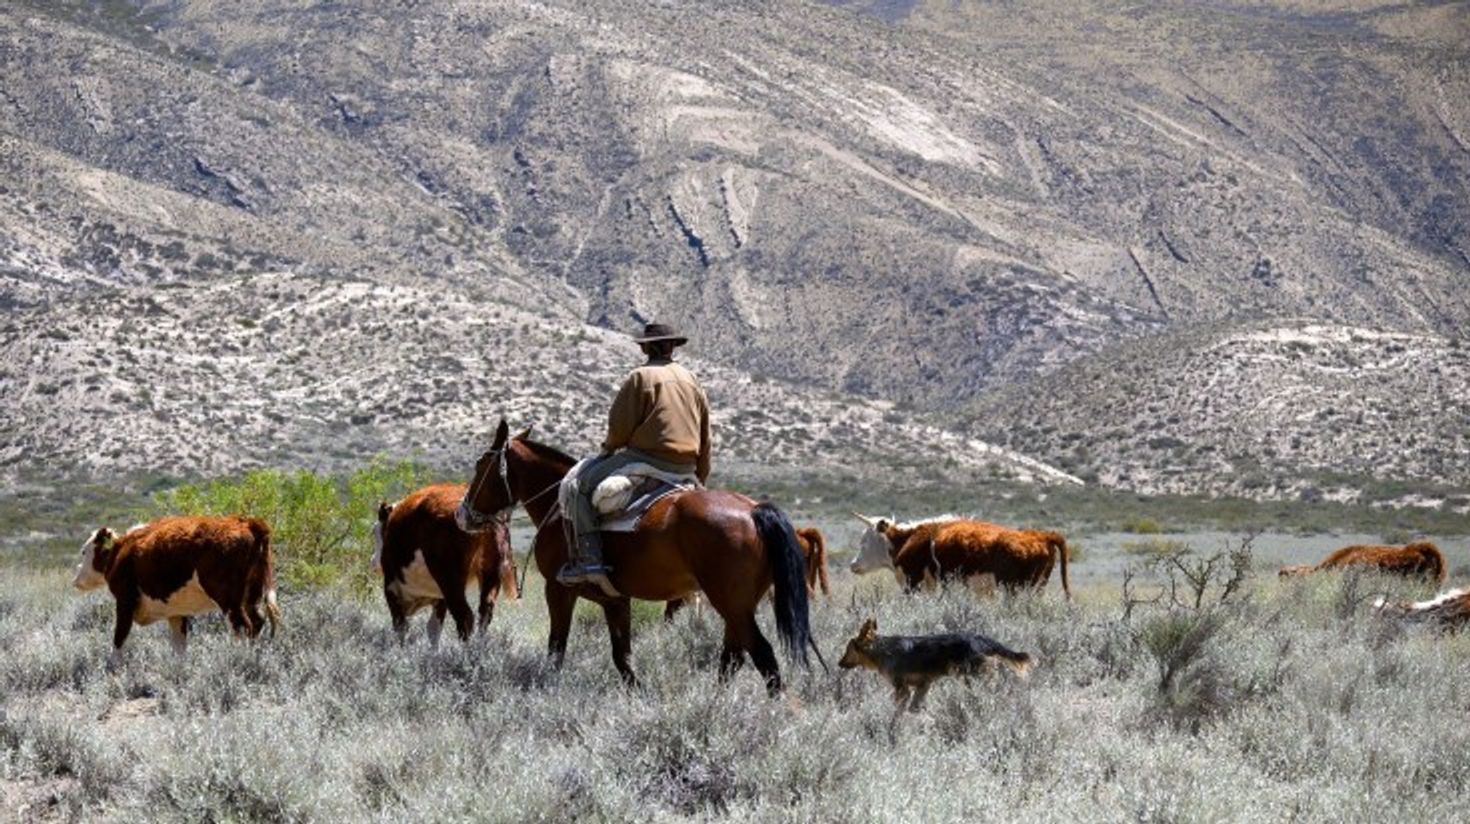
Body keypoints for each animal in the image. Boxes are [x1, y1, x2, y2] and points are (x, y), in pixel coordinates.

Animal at [72, 515, 280, 666]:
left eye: (84, 551)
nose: (75, 577)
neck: (121, 551)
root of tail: (247, 522)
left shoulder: (125, 600)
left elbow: (119, 637)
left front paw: (113, 668)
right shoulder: (176, 612)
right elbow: (179, 646)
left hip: (229, 599)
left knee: (242, 627)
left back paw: (239, 661)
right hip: (251, 596)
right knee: (257, 621)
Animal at [373, 483, 518, 646]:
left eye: (375, 531)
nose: (373, 561)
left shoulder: (391, 589)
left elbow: (401, 628)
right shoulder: (440, 597)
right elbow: (433, 630)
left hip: (449, 580)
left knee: (465, 617)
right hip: (490, 574)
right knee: (485, 613)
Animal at [849, 514, 1071, 599]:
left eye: (864, 541)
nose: (853, 564)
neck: (909, 539)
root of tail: (1040, 535)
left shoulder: (913, 583)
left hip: (1014, 588)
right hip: (1036, 588)